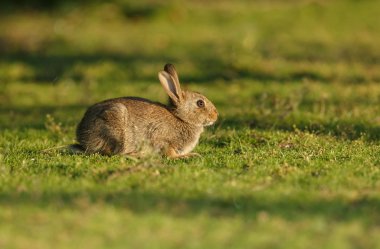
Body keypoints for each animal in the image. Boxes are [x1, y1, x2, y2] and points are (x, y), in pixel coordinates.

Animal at [72, 63, 218, 159]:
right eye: (200, 103)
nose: (215, 116)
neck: (181, 118)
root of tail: (82, 136)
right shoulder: (163, 140)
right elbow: (169, 153)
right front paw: (188, 156)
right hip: (115, 126)